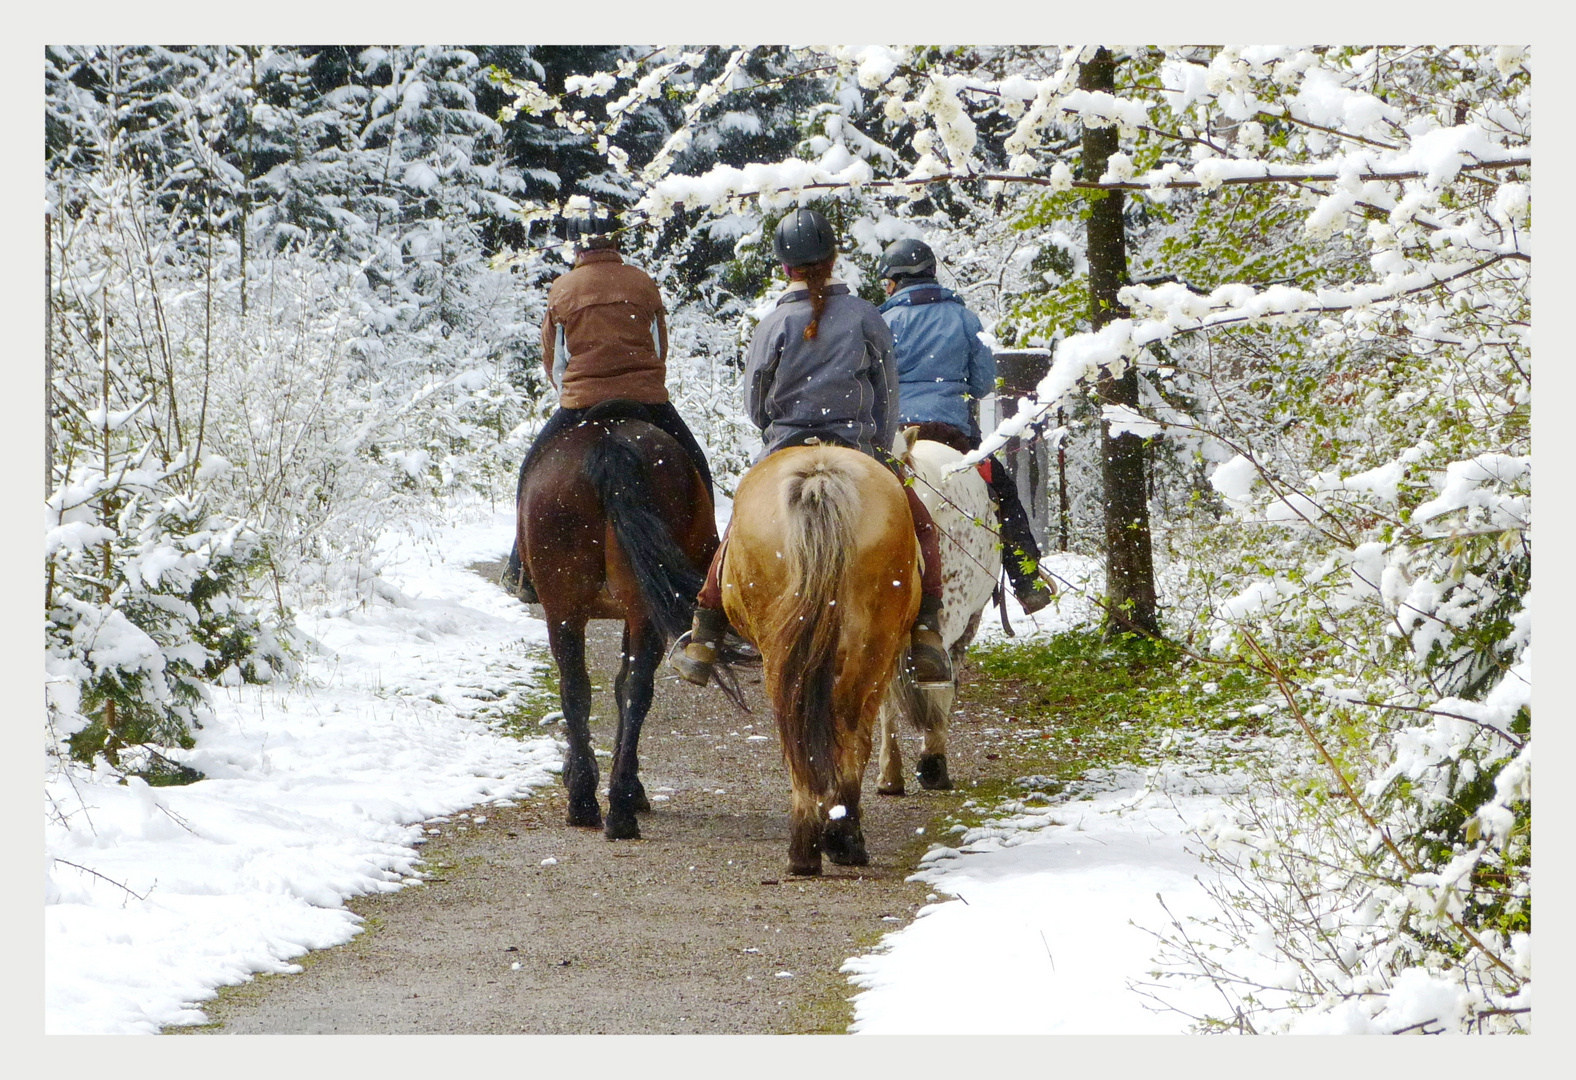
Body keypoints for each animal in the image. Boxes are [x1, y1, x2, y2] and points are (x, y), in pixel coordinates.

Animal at [520, 400, 734, 838]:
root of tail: (610, 445)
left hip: (572, 609)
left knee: (586, 687)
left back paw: (596, 803)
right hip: (621, 607)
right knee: (620, 688)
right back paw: (611, 805)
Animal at [718, 441, 920, 870]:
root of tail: (819, 475)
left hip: (785, 648)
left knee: (797, 723)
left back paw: (807, 845)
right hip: (872, 646)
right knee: (846, 724)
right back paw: (840, 837)